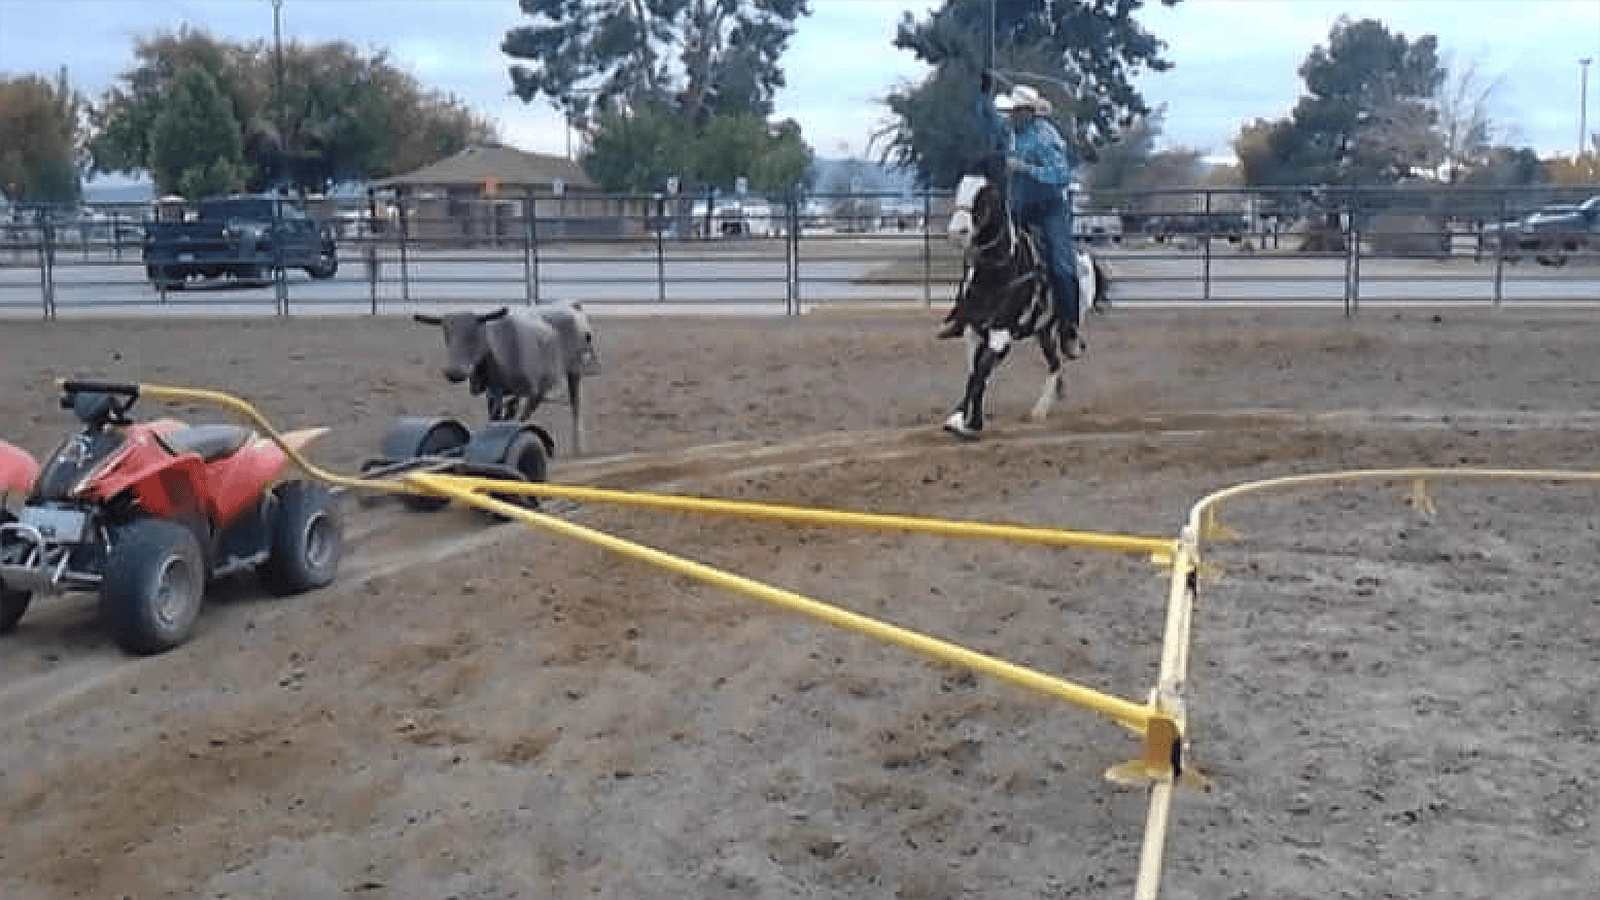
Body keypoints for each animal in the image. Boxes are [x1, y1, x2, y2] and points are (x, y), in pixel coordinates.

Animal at [414, 301, 601, 455]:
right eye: (446, 335)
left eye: (473, 334)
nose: (453, 372)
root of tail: (571, 306)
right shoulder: (494, 391)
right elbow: (497, 415)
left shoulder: (529, 391)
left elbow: (515, 417)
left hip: (574, 372)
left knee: (576, 406)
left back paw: (578, 448)